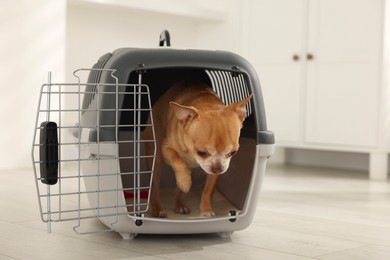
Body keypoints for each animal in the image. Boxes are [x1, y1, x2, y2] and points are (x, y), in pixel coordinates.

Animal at [145, 79, 251, 217]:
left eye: (232, 153)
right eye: (201, 153)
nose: (217, 168)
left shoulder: (214, 174)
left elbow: (207, 190)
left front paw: (206, 210)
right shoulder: (166, 149)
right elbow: (177, 160)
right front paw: (185, 181)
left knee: (179, 191)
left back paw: (180, 205)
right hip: (155, 161)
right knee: (154, 188)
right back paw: (157, 209)